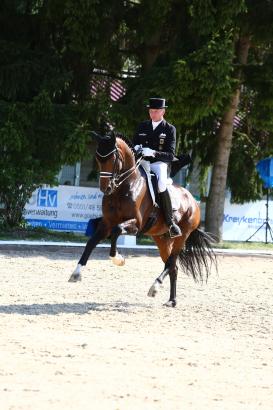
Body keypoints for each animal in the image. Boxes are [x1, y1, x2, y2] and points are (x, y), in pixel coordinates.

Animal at [68, 132, 217, 308]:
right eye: (98, 158)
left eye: (113, 158)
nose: (106, 188)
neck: (125, 186)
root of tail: (193, 200)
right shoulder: (106, 223)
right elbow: (91, 242)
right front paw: (76, 273)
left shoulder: (136, 225)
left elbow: (117, 231)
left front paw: (118, 259)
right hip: (161, 238)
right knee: (173, 266)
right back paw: (171, 300)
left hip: (182, 235)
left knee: (171, 262)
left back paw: (155, 287)